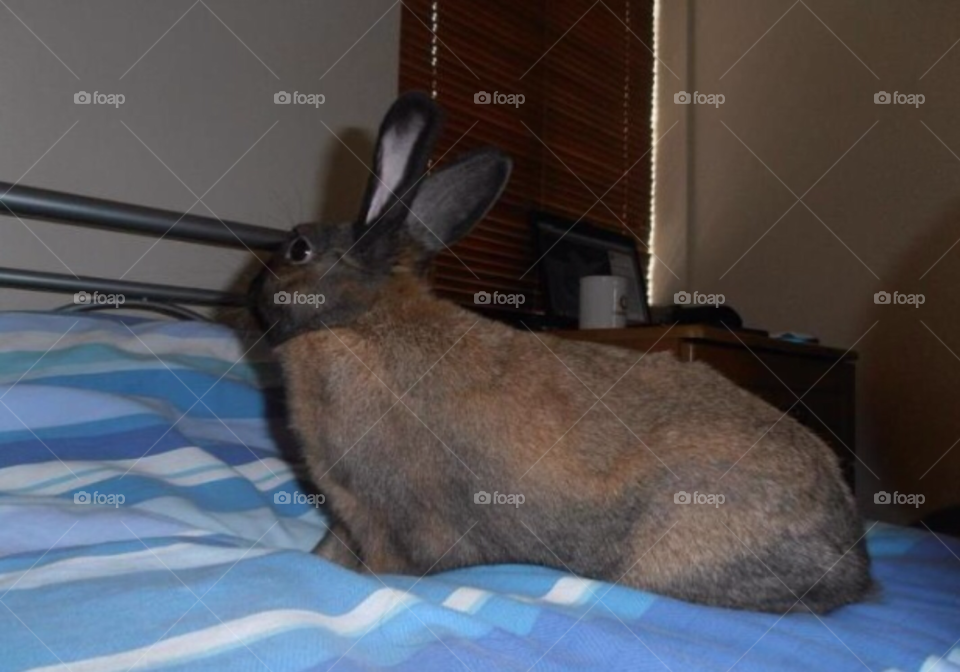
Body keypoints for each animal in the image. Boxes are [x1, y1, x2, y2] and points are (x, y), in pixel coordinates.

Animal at [252, 92, 872, 613]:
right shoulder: (346, 519)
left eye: (298, 248)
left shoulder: (382, 521)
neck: (362, 321)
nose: (253, 291)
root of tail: (854, 565)